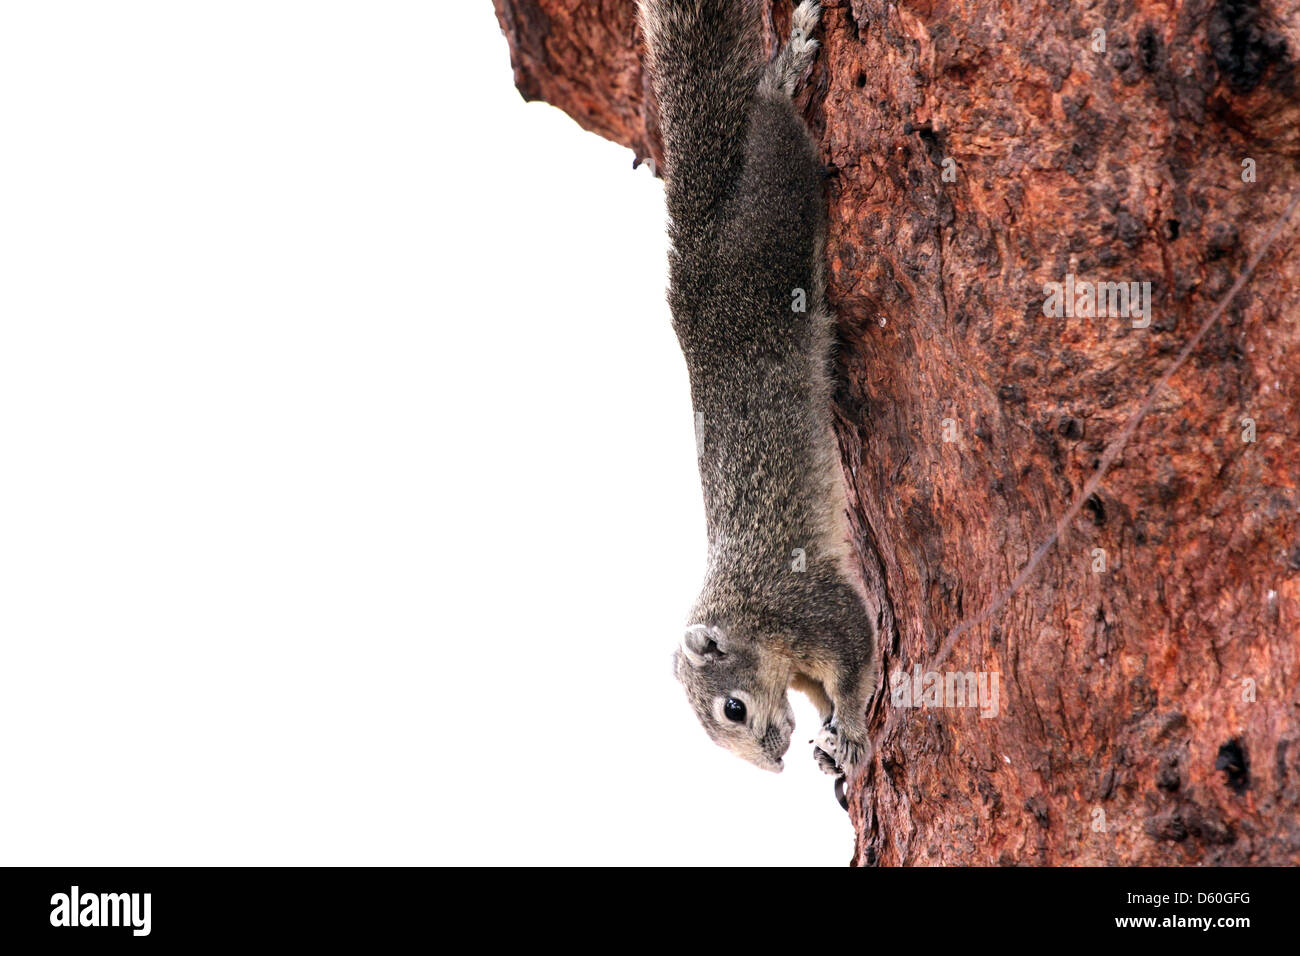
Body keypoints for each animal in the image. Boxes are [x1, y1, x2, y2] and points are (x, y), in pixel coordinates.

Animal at [639, 0, 883, 780]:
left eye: (733, 708)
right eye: (726, 729)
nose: (772, 764)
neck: (749, 618)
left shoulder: (807, 604)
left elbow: (858, 654)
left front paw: (851, 732)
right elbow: (827, 687)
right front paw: (828, 739)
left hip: (773, 214)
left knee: (771, 128)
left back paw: (783, 72)